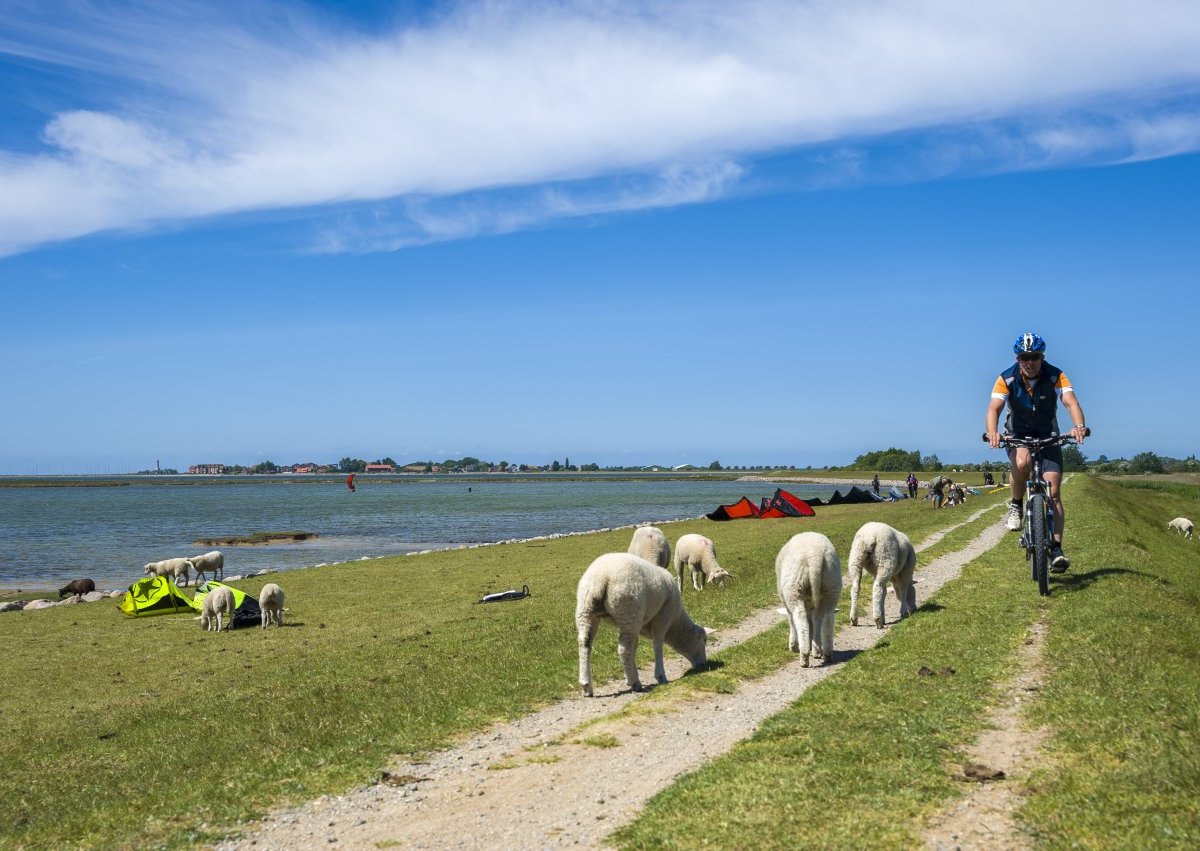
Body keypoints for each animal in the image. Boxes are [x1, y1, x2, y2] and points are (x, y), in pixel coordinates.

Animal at [573, 552, 705, 696]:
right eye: (704, 640)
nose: (704, 665)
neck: (675, 623)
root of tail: (600, 578)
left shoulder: (639, 625)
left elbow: (634, 648)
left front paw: (630, 674)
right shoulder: (662, 618)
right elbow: (657, 645)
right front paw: (660, 676)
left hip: (587, 611)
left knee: (584, 643)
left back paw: (586, 685)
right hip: (629, 611)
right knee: (624, 649)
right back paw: (635, 683)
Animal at [772, 530, 840, 662]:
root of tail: (815, 556)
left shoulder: (785, 599)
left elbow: (791, 620)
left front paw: (793, 645)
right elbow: (813, 622)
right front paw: (815, 648)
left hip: (794, 588)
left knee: (800, 619)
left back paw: (804, 656)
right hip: (831, 586)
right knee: (825, 618)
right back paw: (825, 653)